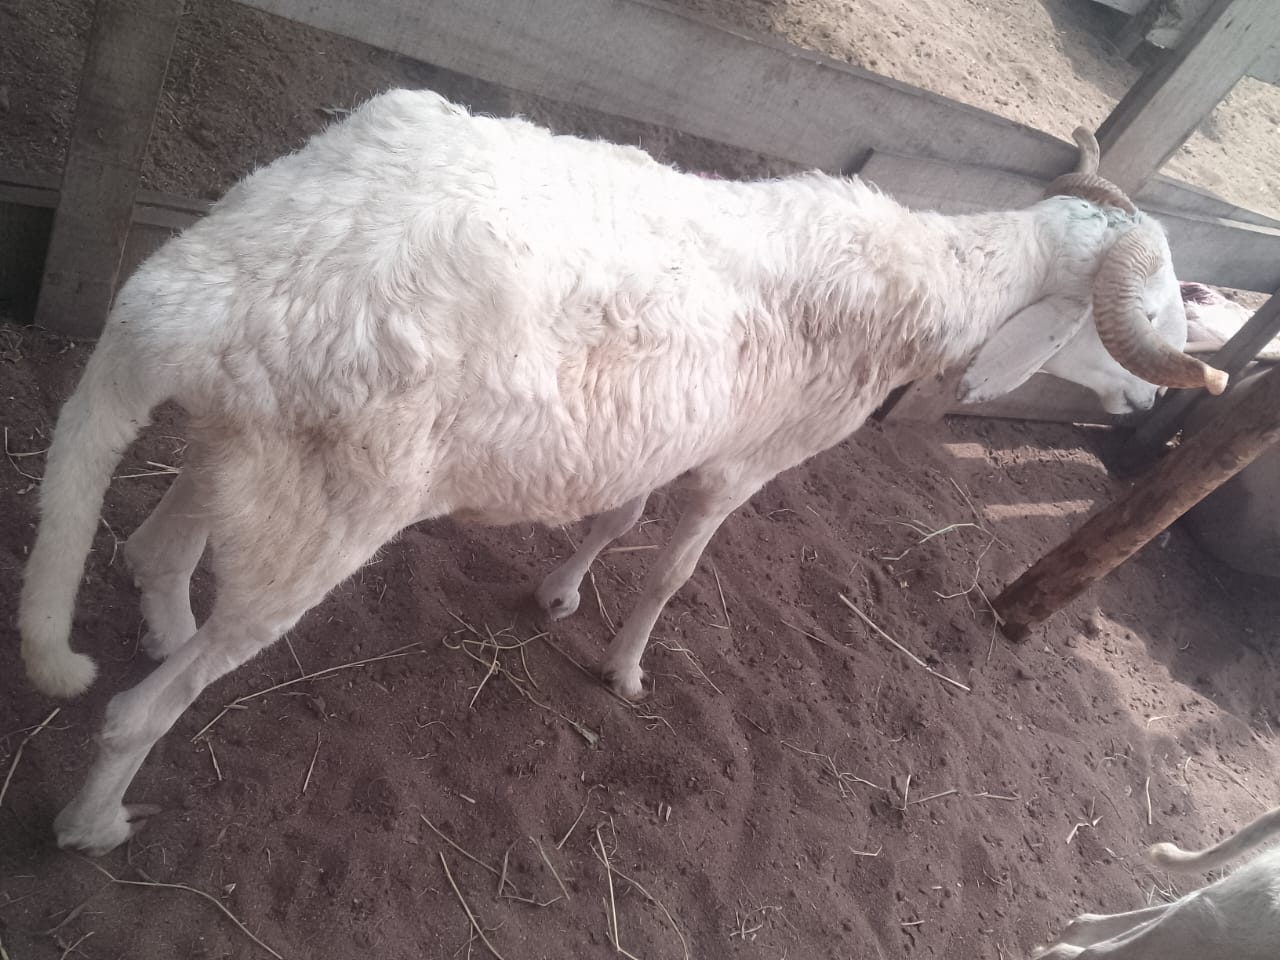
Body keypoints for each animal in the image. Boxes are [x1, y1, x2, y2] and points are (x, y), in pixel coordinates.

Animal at [17, 89, 1226, 854]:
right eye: (1155, 302)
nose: (1164, 400)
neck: (920, 280)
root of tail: (191, 291)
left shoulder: (666, 434)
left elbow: (617, 515)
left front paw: (559, 594)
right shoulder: (743, 463)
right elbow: (671, 569)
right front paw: (625, 670)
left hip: (256, 457)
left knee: (155, 546)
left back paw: (163, 623)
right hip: (318, 524)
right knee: (136, 711)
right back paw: (92, 823)